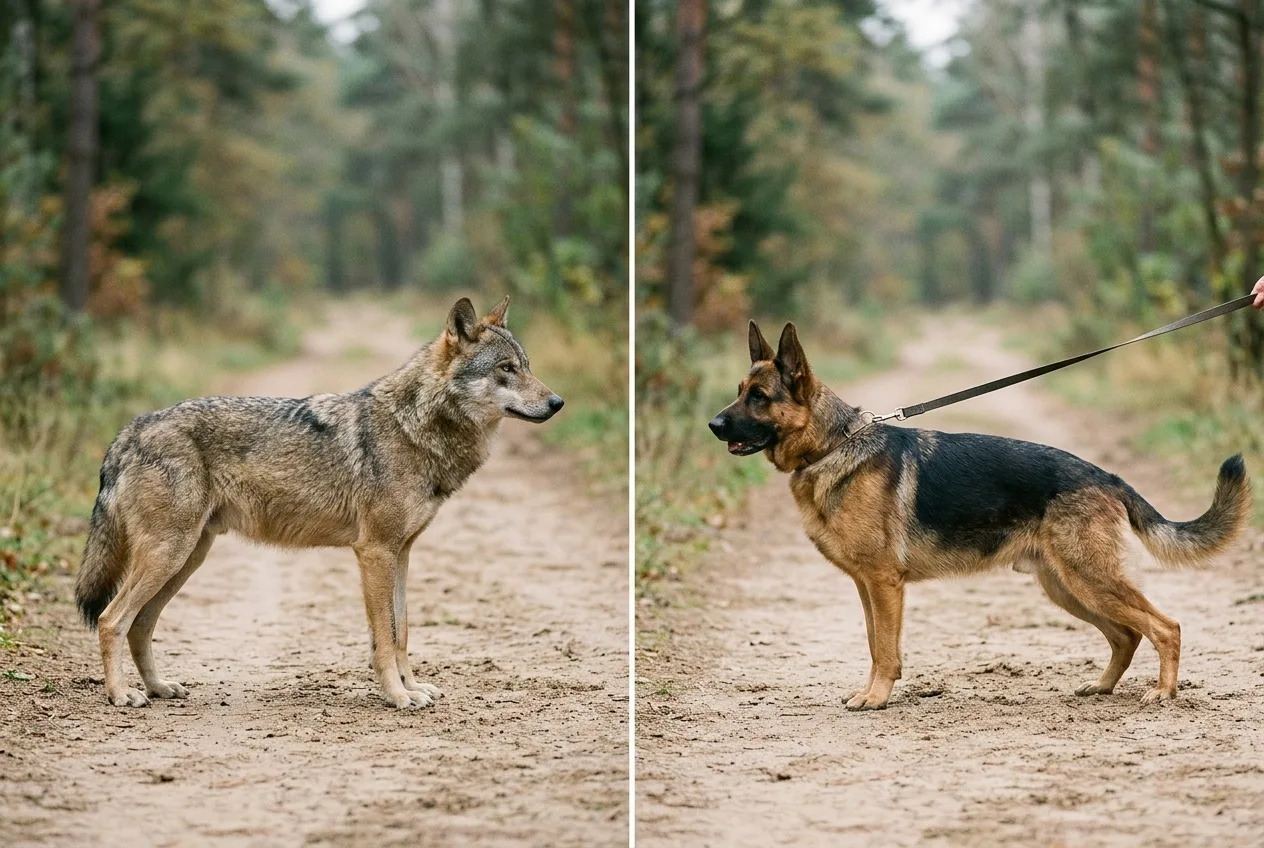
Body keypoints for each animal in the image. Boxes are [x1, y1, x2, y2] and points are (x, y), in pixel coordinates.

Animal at [76, 296, 563, 709]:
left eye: (526, 366)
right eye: (506, 368)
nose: (558, 402)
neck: (416, 428)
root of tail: (131, 430)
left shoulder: (402, 553)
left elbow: (402, 630)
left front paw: (413, 687)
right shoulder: (374, 553)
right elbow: (385, 637)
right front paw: (397, 696)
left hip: (186, 558)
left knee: (140, 624)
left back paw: (159, 687)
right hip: (169, 554)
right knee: (112, 619)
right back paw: (121, 695)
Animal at [709, 321, 1249, 710]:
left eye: (759, 397)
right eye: (738, 390)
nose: (712, 424)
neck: (831, 445)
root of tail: (1106, 476)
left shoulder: (883, 583)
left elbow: (883, 648)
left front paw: (876, 697)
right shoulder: (866, 586)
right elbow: (874, 642)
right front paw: (875, 691)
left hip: (1089, 578)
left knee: (1164, 627)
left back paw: (1164, 693)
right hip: (1066, 586)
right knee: (1126, 634)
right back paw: (1100, 687)